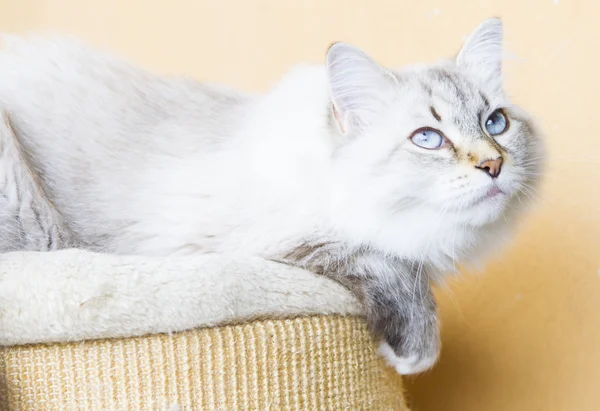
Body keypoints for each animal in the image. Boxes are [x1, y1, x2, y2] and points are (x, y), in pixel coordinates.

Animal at [0, 17, 544, 374]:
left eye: (495, 123)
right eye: (428, 138)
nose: (493, 164)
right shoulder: (258, 243)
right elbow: (383, 262)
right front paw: (415, 352)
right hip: (34, 222)